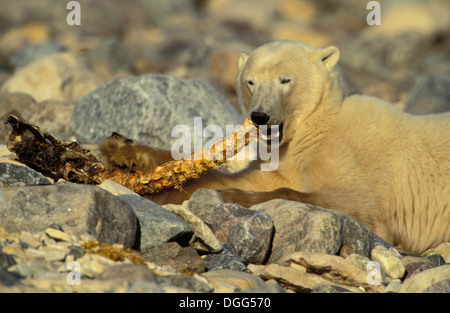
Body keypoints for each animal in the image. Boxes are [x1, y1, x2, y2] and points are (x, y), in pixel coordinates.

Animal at [102, 39, 450, 254]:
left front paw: (233, 198)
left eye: (286, 80)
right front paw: (124, 152)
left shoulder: (365, 173)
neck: (315, 129)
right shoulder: (281, 160)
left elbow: (353, 206)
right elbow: (236, 176)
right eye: (250, 81)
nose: (260, 116)